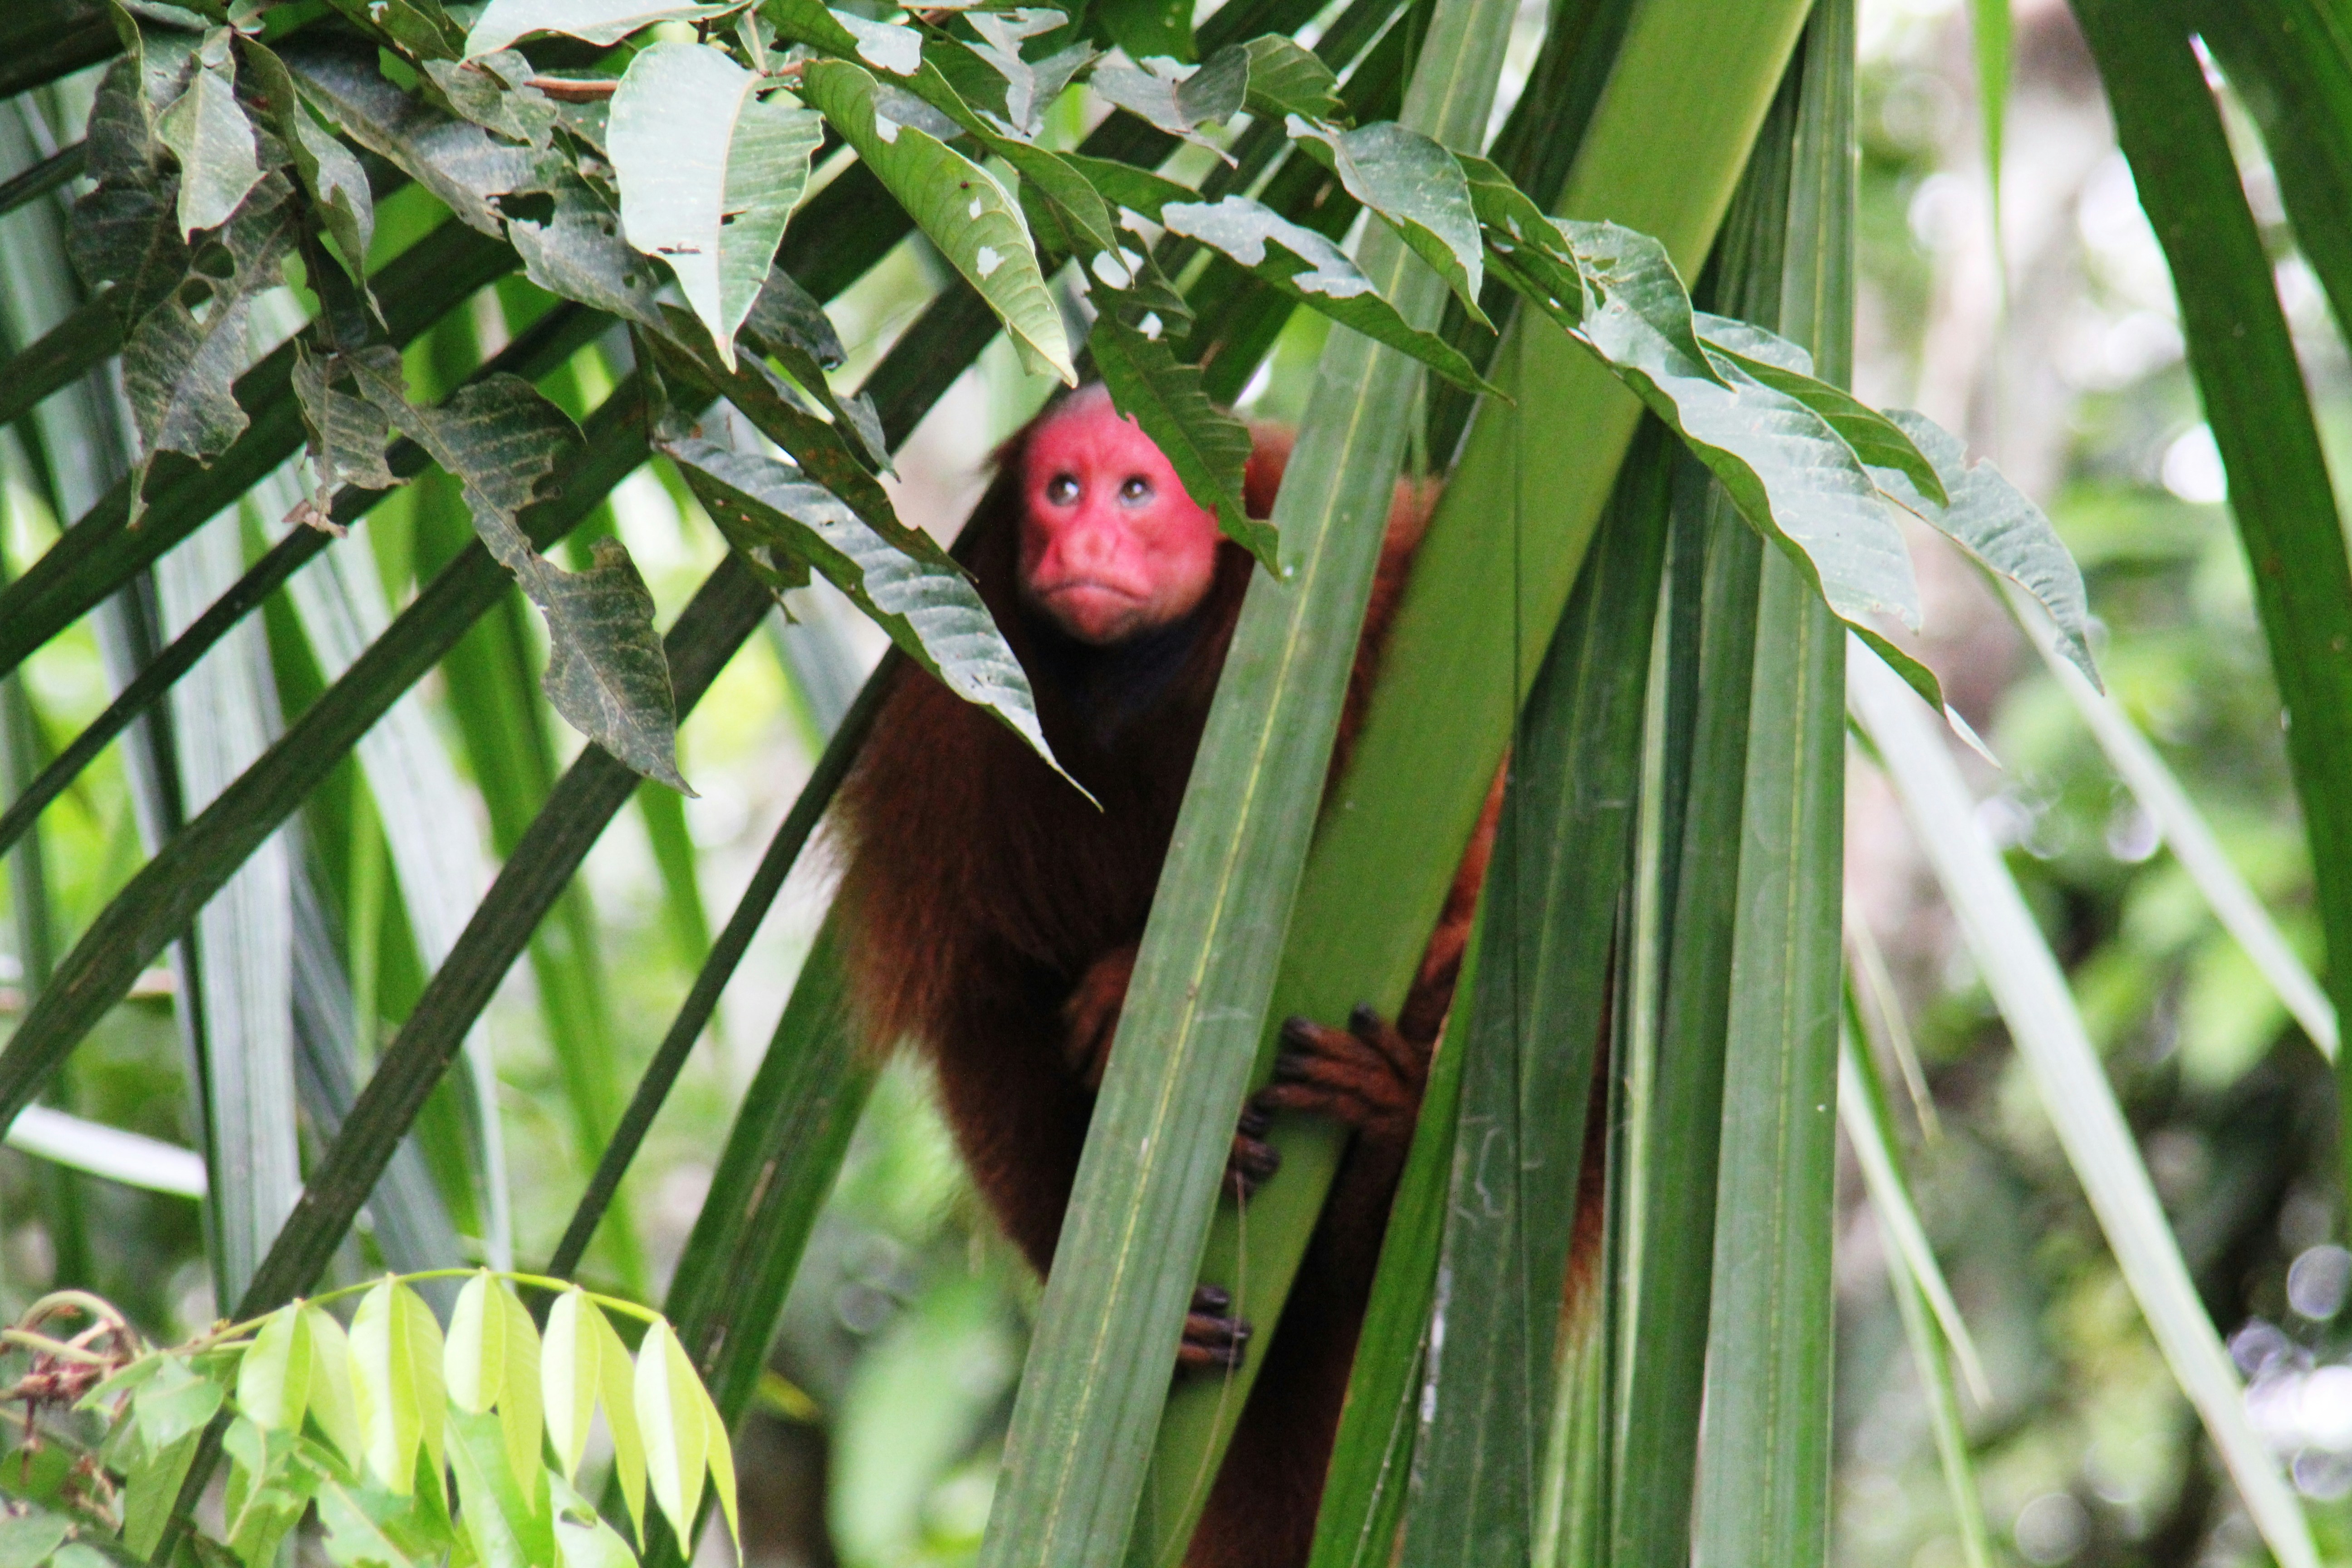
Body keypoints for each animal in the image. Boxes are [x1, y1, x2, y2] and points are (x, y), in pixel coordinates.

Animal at [829, 383, 1496, 1568]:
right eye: (1063, 490)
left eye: (1136, 491)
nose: (1086, 541)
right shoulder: (953, 716)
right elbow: (983, 1008)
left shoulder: (1381, 587)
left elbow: (1477, 837)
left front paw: (1129, 981)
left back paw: (1381, 1144)